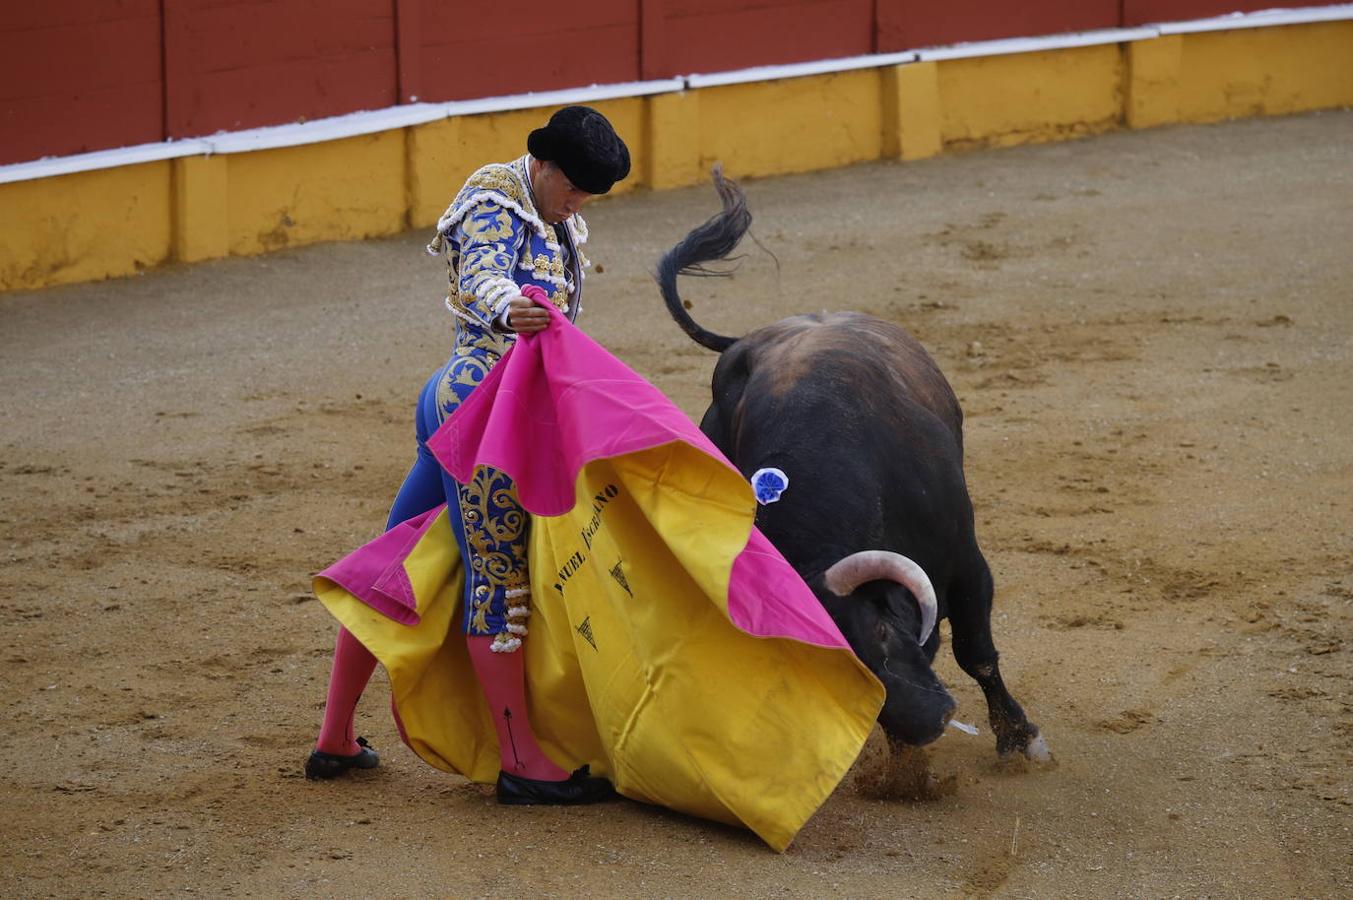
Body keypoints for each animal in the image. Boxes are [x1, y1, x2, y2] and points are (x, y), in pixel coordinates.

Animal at [654, 173, 1044, 757]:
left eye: (878, 634)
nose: (928, 724)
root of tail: (762, 331)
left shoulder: (967, 559)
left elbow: (976, 651)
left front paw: (1019, 738)